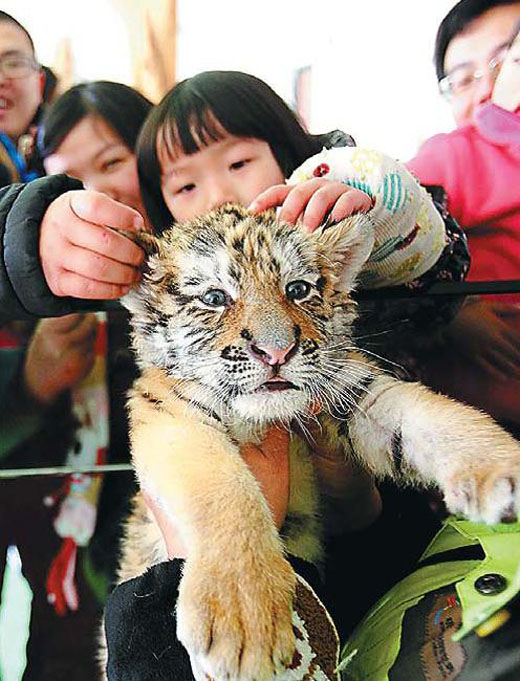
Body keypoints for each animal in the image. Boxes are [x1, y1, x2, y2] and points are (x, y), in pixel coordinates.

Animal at [110, 204, 520, 681]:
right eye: (214, 298)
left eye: (298, 289)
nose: (276, 352)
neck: (265, 418)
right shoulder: (172, 413)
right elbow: (224, 490)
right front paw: (244, 617)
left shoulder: (354, 392)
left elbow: (427, 414)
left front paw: (502, 469)